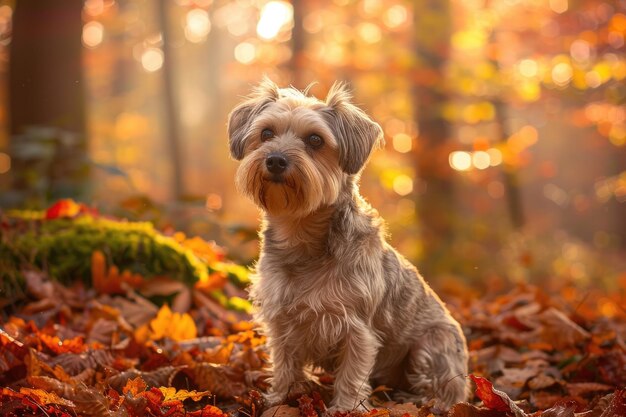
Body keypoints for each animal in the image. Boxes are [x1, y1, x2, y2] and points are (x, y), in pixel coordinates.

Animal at [227, 78, 466, 410]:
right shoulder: (280, 319)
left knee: (442, 388)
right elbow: (284, 361)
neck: (300, 233)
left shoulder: (356, 327)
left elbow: (352, 372)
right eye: (266, 133)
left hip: (430, 345)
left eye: (315, 140)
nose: (275, 159)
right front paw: (280, 398)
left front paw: (345, 408)